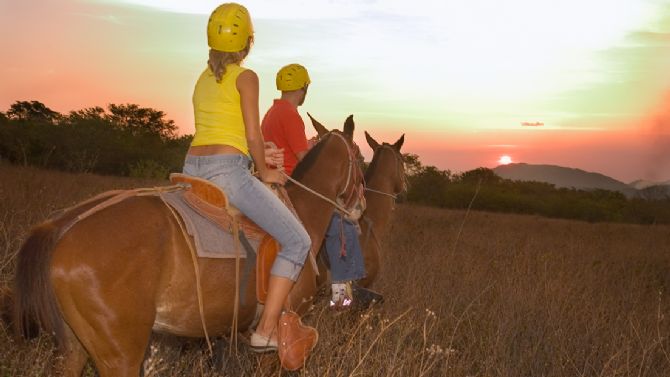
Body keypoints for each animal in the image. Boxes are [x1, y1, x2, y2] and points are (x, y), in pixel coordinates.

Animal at [13, 118, 364, 376]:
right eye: (360, 157)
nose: (359, 208)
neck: (300, 212)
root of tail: (61, 226)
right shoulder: (276, 343)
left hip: (73, 348)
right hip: (120, 354)